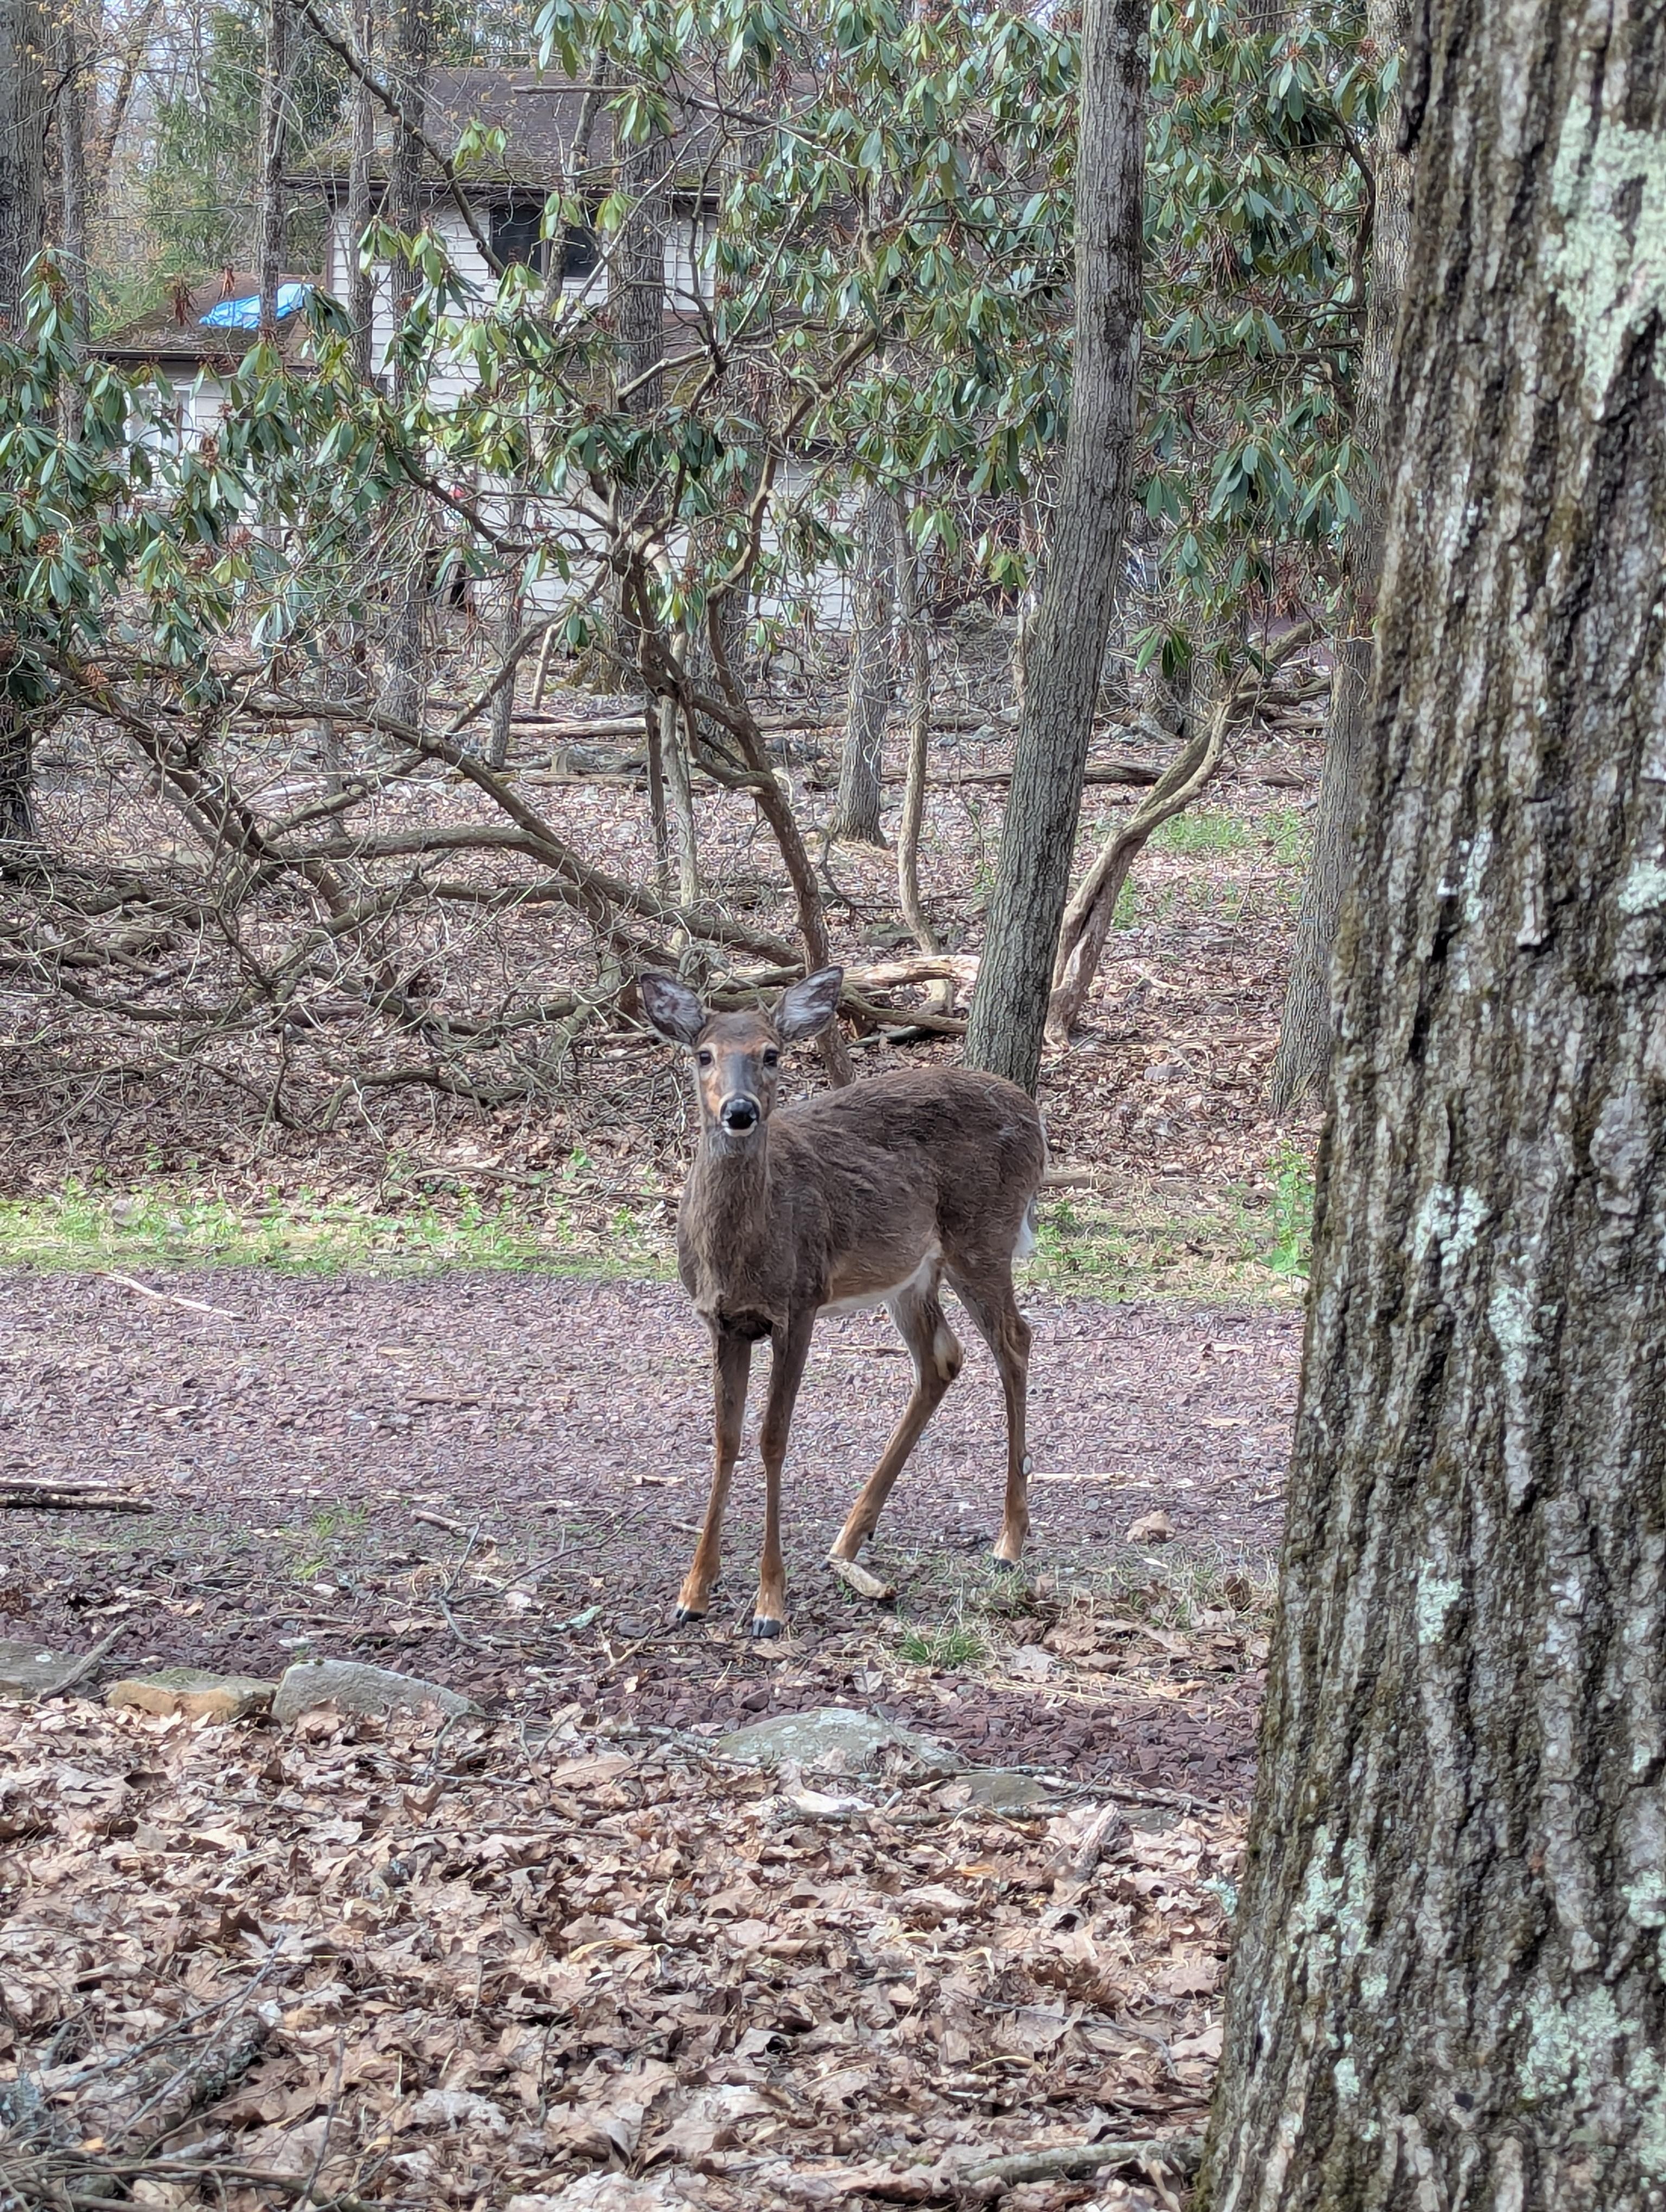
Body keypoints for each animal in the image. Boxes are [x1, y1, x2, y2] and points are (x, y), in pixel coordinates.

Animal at [639, 964, 1046, 1638]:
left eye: (771, 1054)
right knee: (943, 1358)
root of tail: (1034, 1113)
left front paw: (770, 1605)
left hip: (982, 1236)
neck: (740, 1255)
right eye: (703, 1055)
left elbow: (772, 1438)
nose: (740, 1111)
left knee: (1015, 1340)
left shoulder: (799, 1304)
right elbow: (725, 1439)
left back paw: (1009, 1542)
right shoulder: (721, 1319)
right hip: (913, 1274)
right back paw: (851, 1538)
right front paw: (693, 1591)